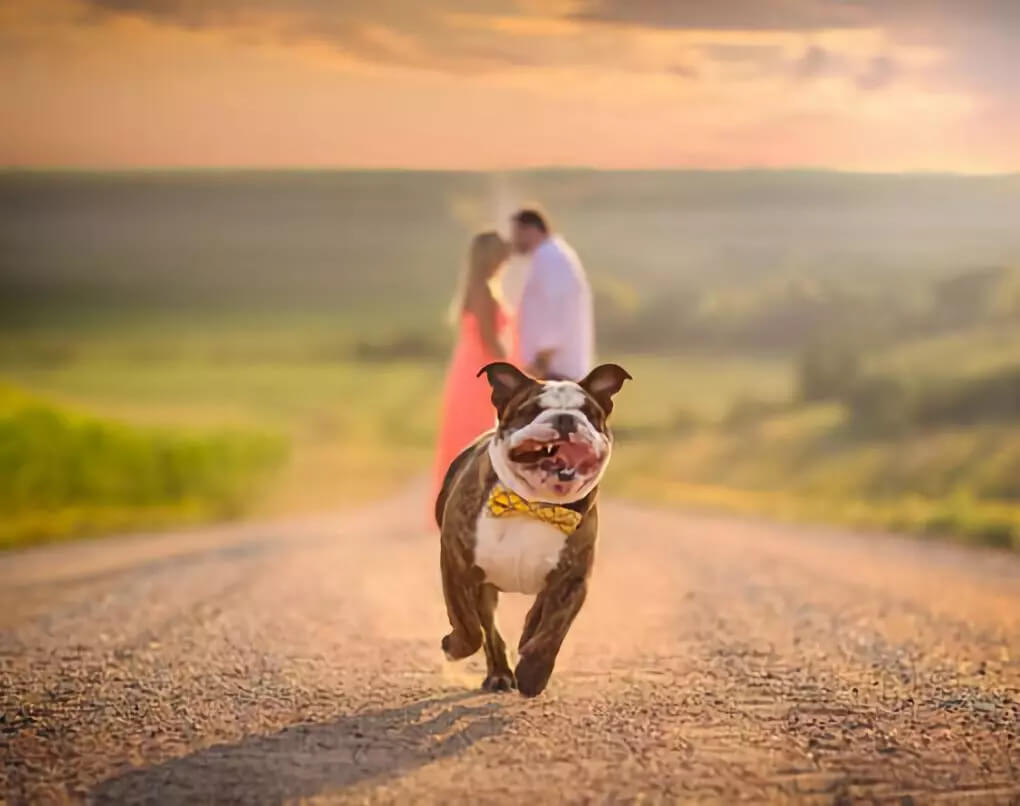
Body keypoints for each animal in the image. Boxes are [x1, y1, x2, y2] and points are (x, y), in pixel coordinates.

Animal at [436, 363, 628, 697]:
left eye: (589, 413)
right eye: (532, 410)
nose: (565, 418)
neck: (533, 504)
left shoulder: (573, 579)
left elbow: (552, 632)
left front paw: (533, 674)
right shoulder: (457, 565)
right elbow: (468, 625)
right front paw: (453, 646)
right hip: (483, 589)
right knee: (489, 630)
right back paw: (499, 674)